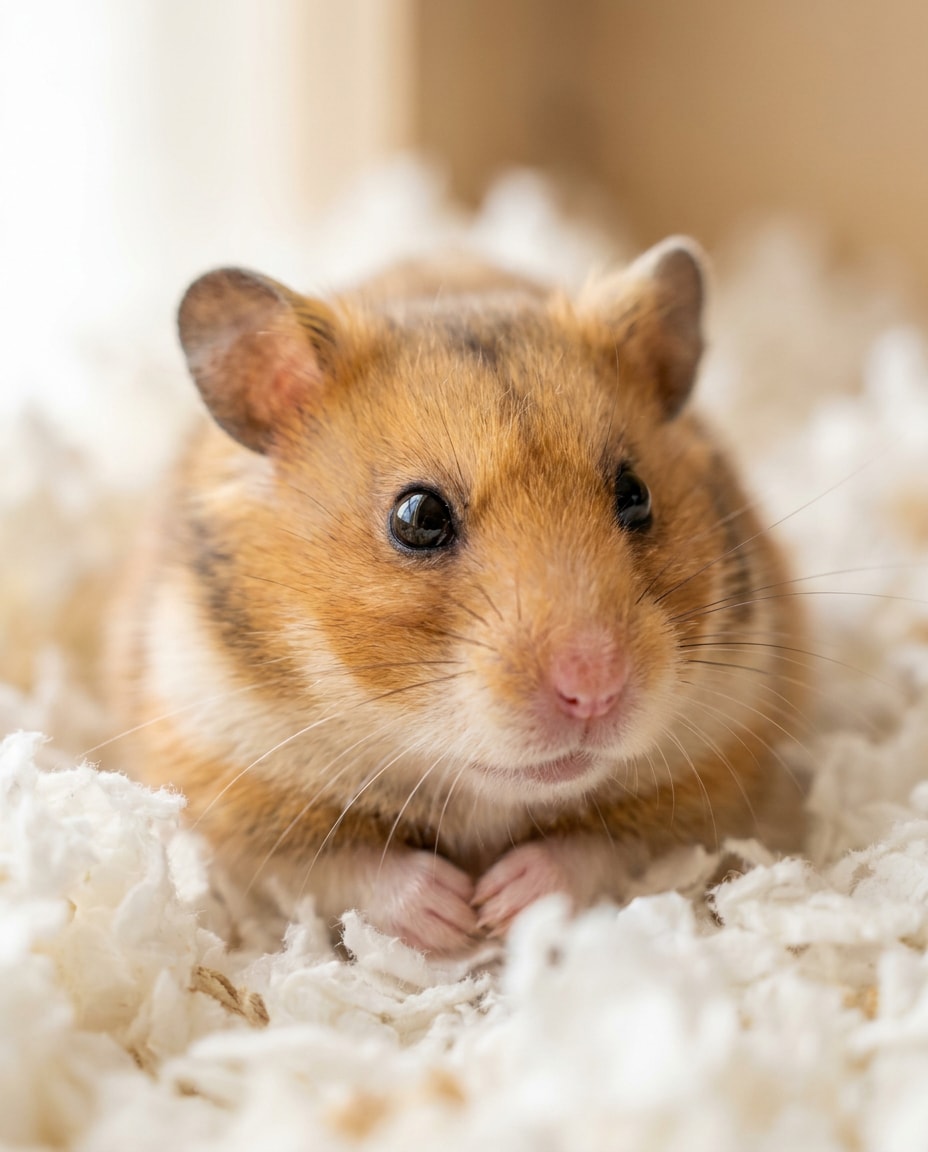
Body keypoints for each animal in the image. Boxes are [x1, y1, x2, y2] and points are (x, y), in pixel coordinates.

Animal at [107, 238, 807, 954]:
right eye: (418, 517)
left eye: (636, 495)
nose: (594, 691)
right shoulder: (232, 801)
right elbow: (346, 870)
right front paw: (453, 917)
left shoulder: (711, 787)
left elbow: (598, 847)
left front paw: (501, 903)